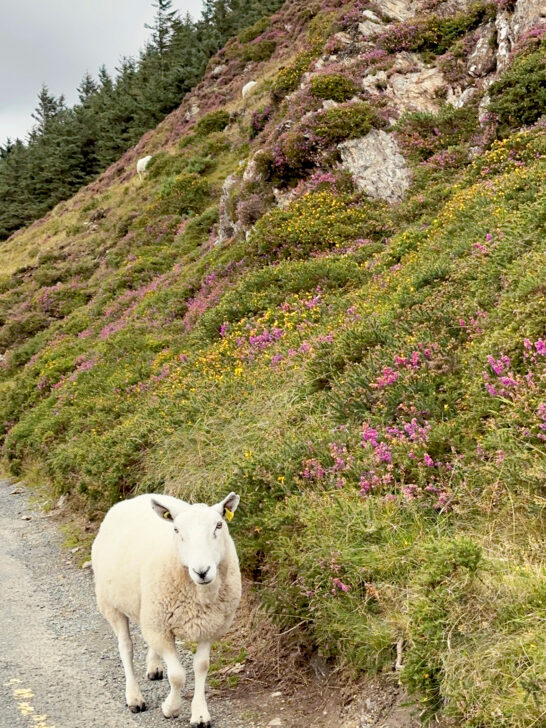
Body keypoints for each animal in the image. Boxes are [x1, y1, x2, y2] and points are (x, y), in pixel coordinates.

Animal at [91, 491, 241, 727]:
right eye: (177, 530)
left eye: (219, 525)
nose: (202, 571)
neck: (199, 594)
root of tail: (139, 497)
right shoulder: (159, 626)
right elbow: (178, 675)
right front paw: (171, 708)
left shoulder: (210, 628)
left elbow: (202, 666)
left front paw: (200, 714)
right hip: (112, 604)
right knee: (126, 648)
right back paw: (134, 697)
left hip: (150, 612)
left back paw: (154, 667)